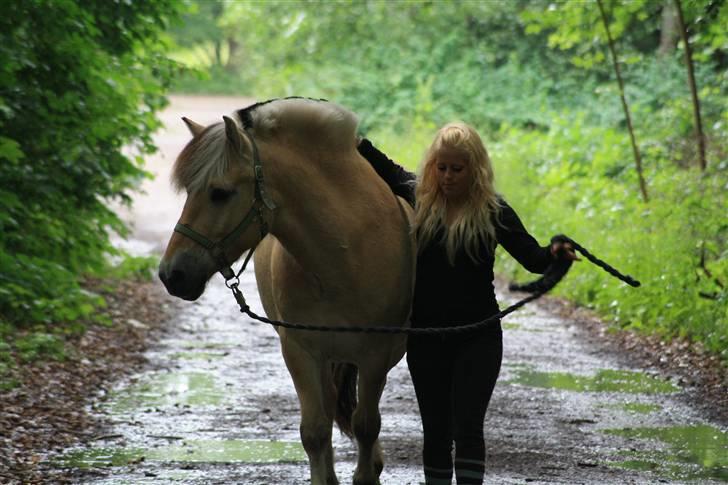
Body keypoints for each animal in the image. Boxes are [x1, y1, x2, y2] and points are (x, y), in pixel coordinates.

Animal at [160, 96, 418, 482]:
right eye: (189, 191)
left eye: (220, 193)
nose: (171, 274)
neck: (345, 254)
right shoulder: (300, 351)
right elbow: (314, 432)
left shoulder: (375, 355)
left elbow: (366, 426)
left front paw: (367, 469)